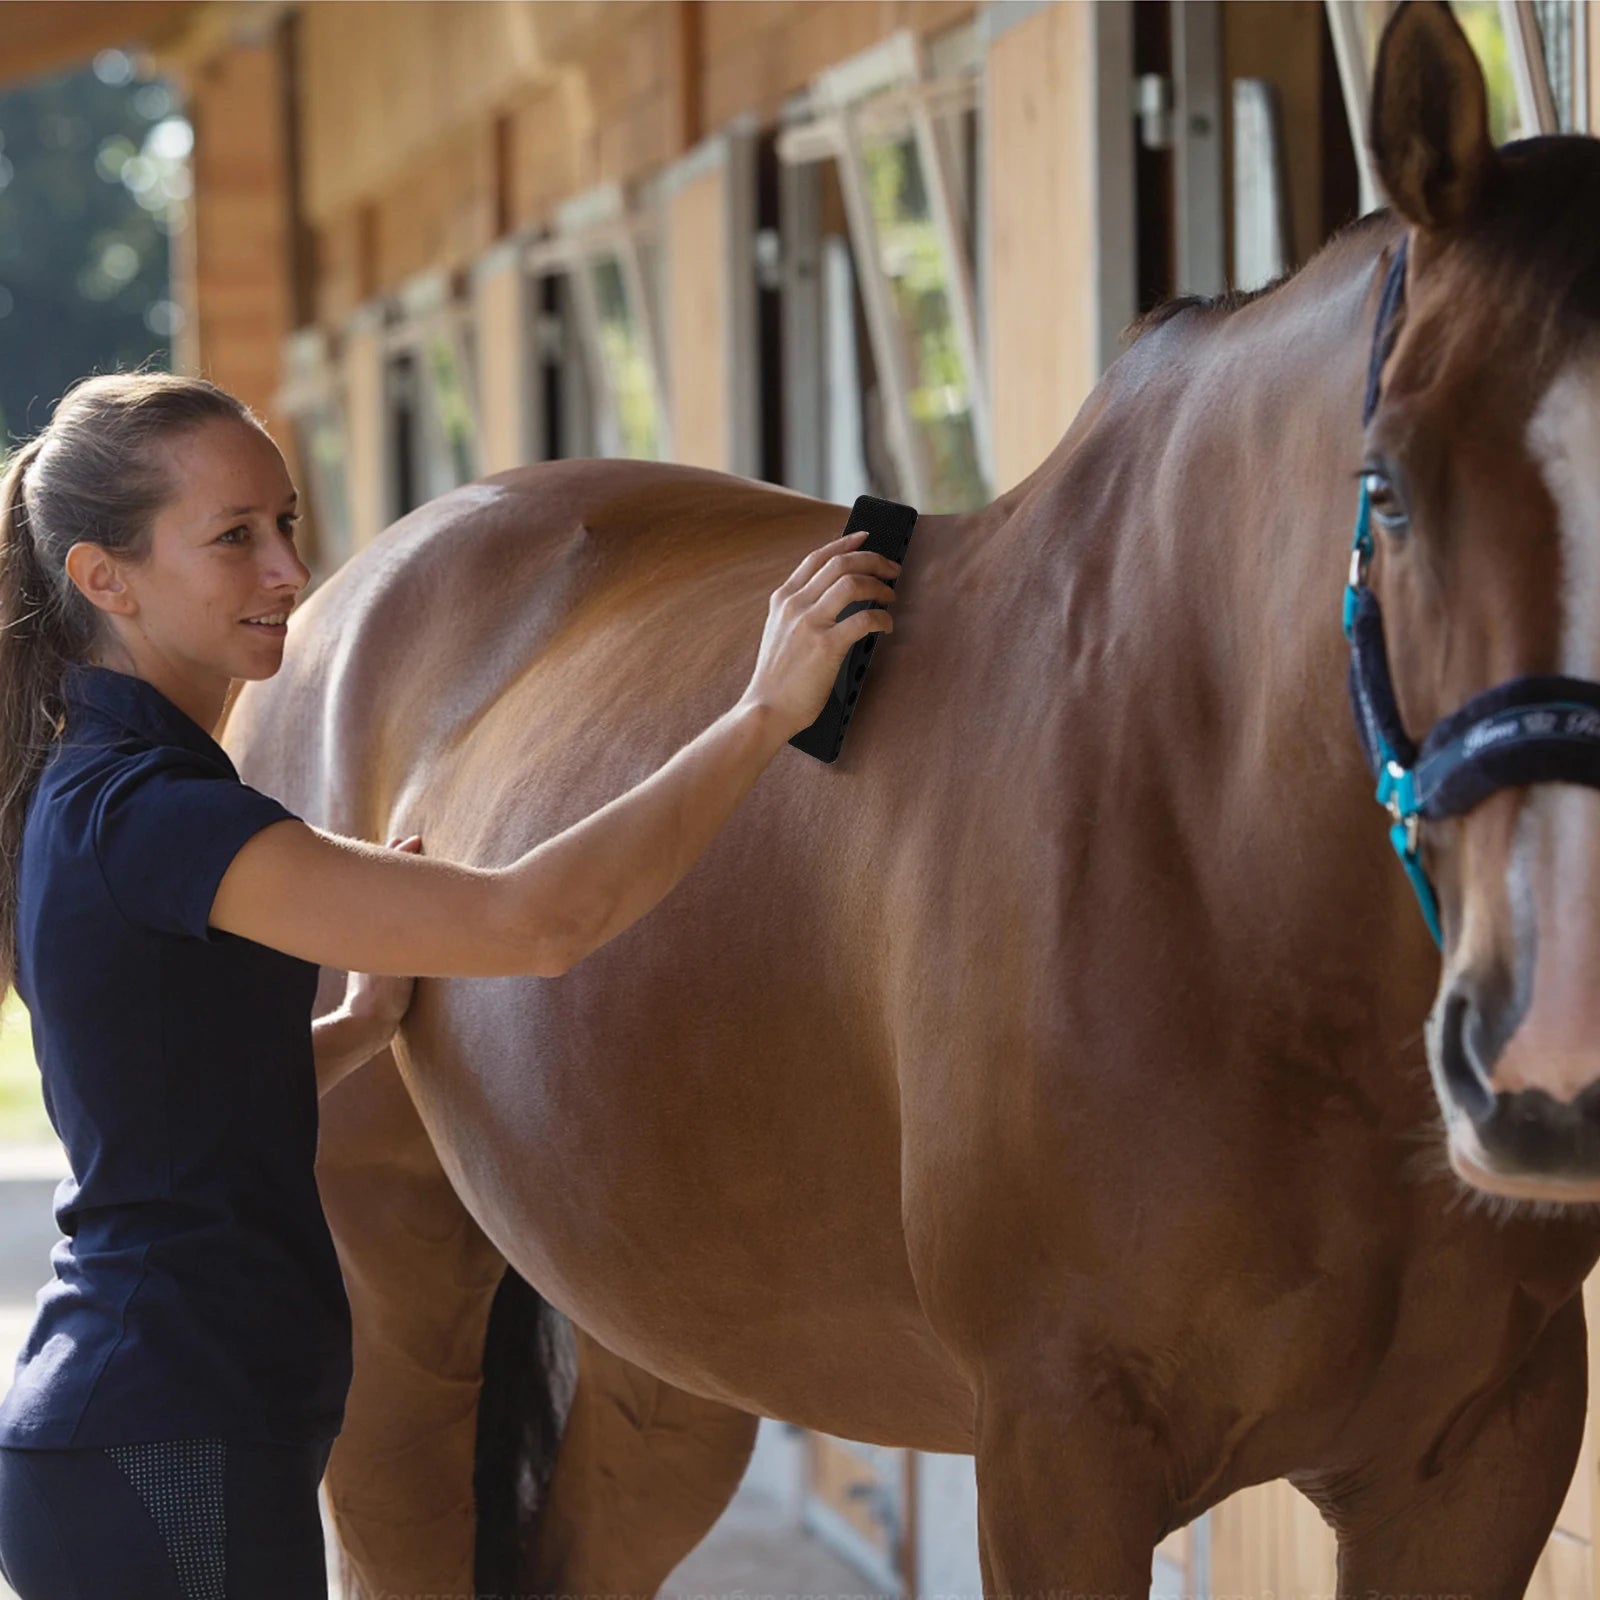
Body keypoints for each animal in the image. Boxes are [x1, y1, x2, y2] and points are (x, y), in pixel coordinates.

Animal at [224, 4, 1600, 1594]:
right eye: (1387, 489)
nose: (1552, 1053)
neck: (1221, 855)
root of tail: (337, 605)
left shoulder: (1477, 1458)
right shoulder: (1057, 1452)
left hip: (667, 1353)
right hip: (395, 1315)